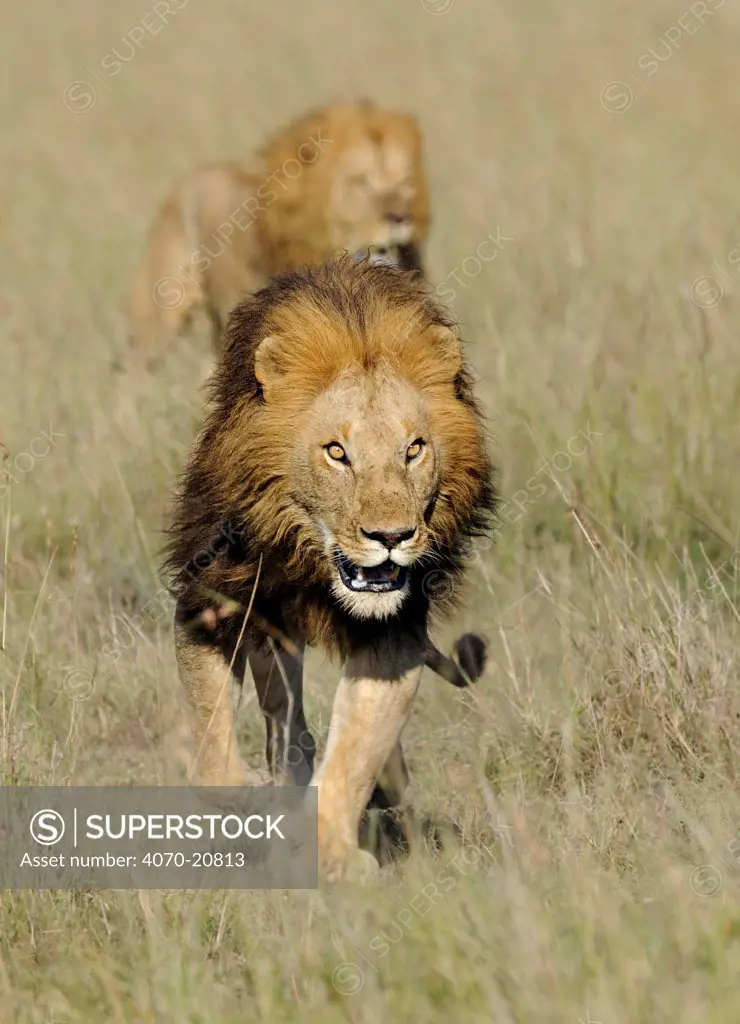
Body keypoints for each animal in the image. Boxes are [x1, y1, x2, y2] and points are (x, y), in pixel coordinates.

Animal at [163, 253, 497, 880]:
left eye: (414, 449)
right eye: (337, 453)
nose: (391, 537)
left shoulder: (394, 634)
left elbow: (357, 749)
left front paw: (332, 853)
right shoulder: (209, 603)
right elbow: (214, 756)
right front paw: (248, 799)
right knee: (283, 712)